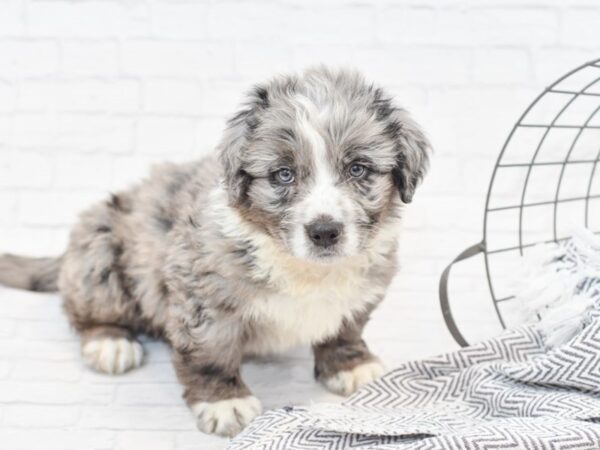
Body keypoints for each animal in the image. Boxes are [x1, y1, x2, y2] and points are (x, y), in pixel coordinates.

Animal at [1, 66, 432, 436]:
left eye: (358, 169)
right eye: (283, 175)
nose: (324, 232)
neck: (305, 269)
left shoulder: (364, 287)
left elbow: (346, 328)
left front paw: (352, 364)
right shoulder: (203, 296)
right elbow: (211, 352)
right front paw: (225, 401)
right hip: (100, 255)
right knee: (85, 311)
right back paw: (110, 342)